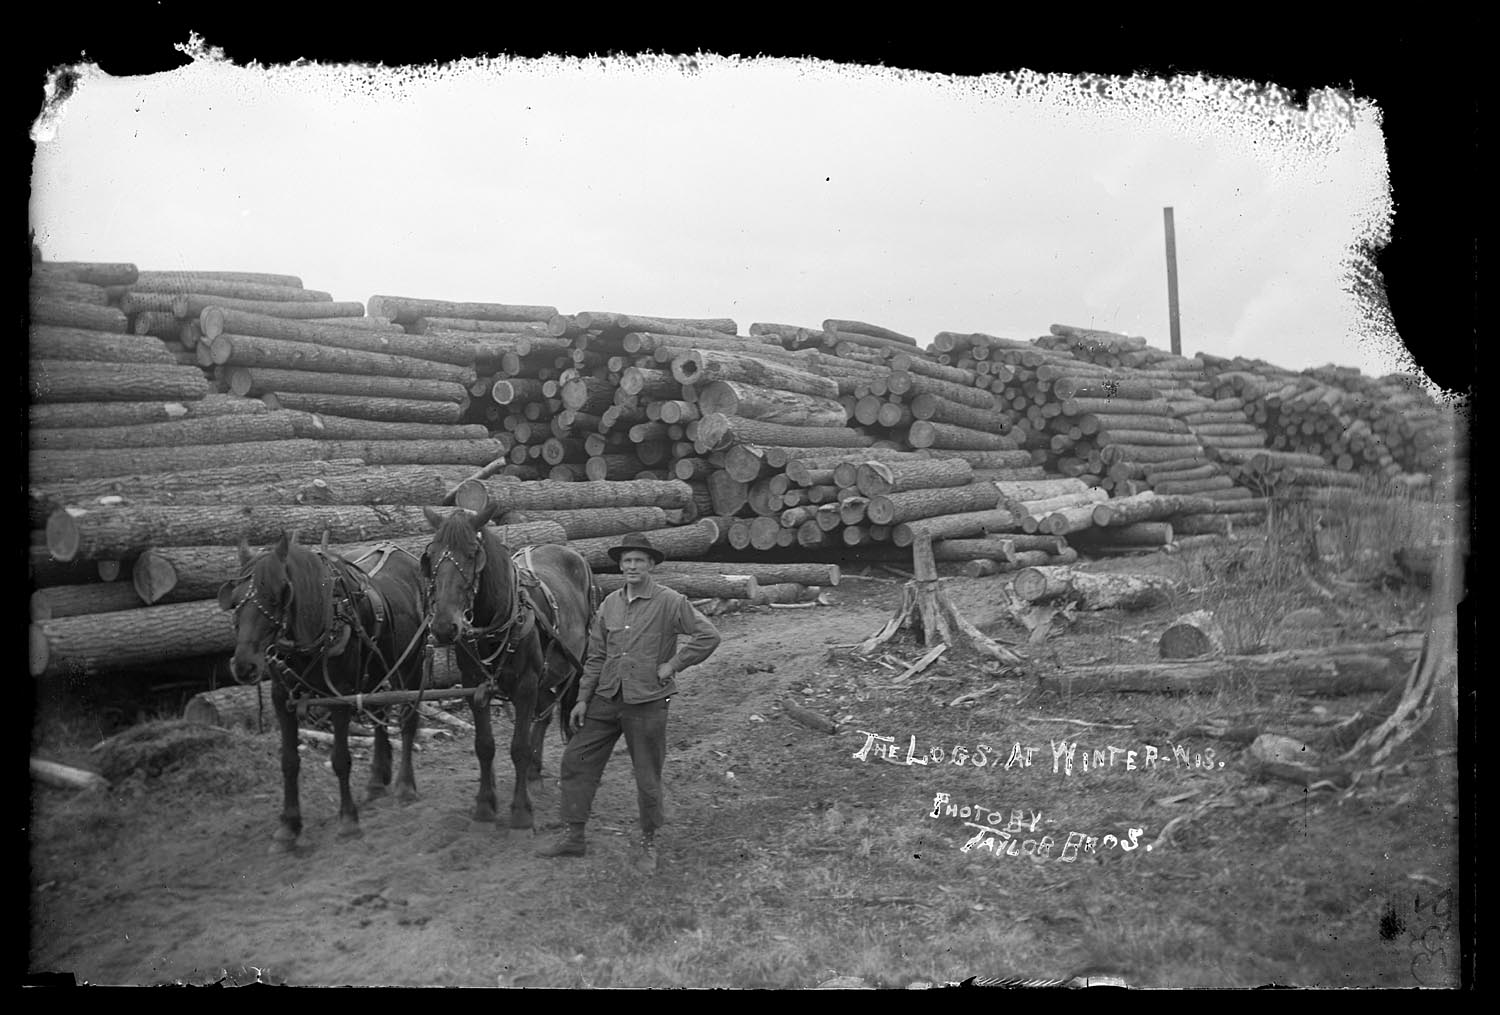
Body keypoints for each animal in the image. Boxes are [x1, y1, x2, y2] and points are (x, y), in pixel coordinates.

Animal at [217, 530, 432, 845]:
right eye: (234, 600)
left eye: (278, 595)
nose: (244, 666)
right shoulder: (281, 698)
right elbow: (289, 761)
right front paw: (288, 826)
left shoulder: (339, 695)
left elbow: (340, 759)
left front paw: (348, 821)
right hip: (375, 668)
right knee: (380, 710)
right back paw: (376, 781)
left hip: (411, 664)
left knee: (408, 717)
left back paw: (405, 786)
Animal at [423, 503, 597, 827]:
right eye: (432, 555)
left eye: (472, 554)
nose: (442, 627)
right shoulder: (473, 686)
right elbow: (485, 745)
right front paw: (485, 804)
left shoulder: (526, 684)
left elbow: (518, 747)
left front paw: (521, 812)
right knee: (545, 713)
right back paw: (534, 773)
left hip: (573, 662)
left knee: (557, 712)